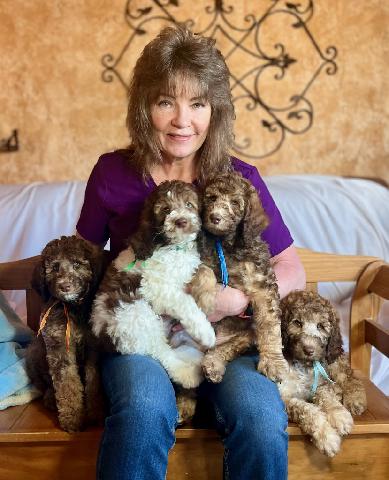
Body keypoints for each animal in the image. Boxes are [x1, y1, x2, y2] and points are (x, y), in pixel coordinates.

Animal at [25, 234, 104, 434]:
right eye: (54, 268)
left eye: (77, 264)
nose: (65, 286)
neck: (72, 307)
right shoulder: (59, 347)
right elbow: (67, 383)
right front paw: (73, 418)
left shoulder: (93, 349)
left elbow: (93, 381)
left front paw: (96, 412)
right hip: (35, 352)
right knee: (45, 383)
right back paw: (50, 398)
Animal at [91, 180, 217, 390]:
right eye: (166, 209)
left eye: (189, 205)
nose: (181, 221)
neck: (173, 246)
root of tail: (106, 341)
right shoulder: (155, 287)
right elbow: (185, 302)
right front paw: (205, 331)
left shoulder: (187, 267)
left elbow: (204, 271)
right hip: (137, 315)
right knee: (162, 353)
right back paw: (188, 373)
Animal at [278, 290, 366, 456]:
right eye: (297, 323)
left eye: (320, 326)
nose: (309, 350)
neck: (303, 364)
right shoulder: (284, 397)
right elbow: (307, 410)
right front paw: (327, 437)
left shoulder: (320, 384)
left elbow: (327, 397)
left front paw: (340, 416)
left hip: (333, 361)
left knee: (350, 380)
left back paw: (355, 400)